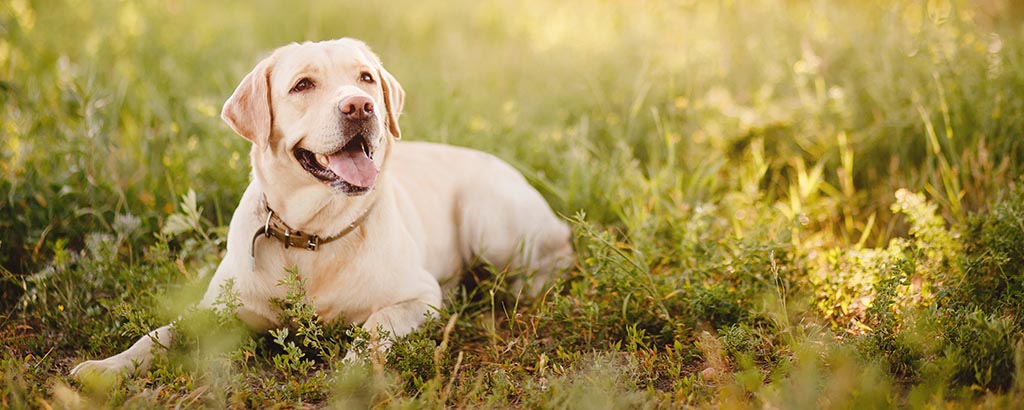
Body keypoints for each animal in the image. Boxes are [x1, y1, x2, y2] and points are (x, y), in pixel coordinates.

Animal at [70, 36, 577, 377]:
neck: (310, 235)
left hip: (488, 220)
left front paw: (351, 370)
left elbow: (375, 325)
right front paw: (106, 367)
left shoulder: (419, 297)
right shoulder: (216, 309)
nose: (361, 106)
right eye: (303, 85)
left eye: (366, 77)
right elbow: (158, 334)